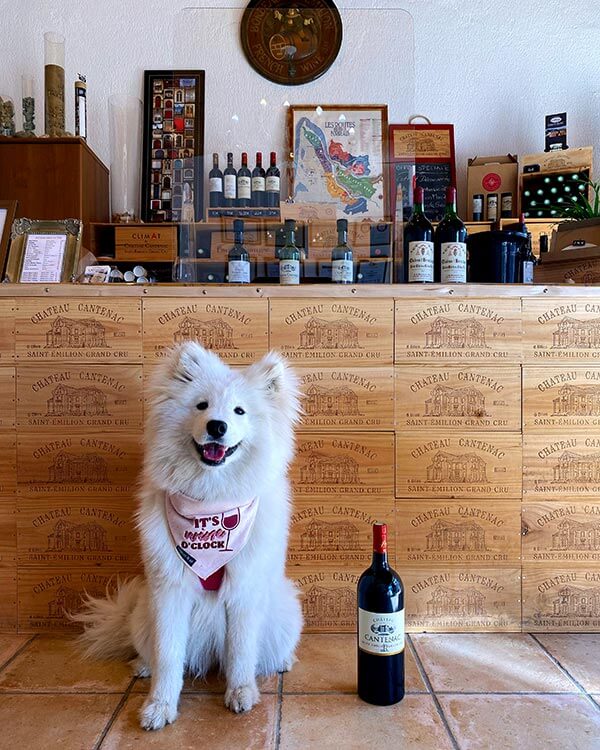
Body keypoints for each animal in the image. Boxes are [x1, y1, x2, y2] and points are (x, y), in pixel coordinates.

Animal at [78, 344, 304, 732]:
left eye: (239, 410)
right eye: (202, 405)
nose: (217, 426)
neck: (211, 500)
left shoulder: (244, 591)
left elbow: (241, 651)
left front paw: (241, 693)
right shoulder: (170, 591)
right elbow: (169, 655)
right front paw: (159, 707)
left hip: (284, 610)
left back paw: (281, 662)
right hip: (143, 611)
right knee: (151, 651)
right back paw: (143, 666)